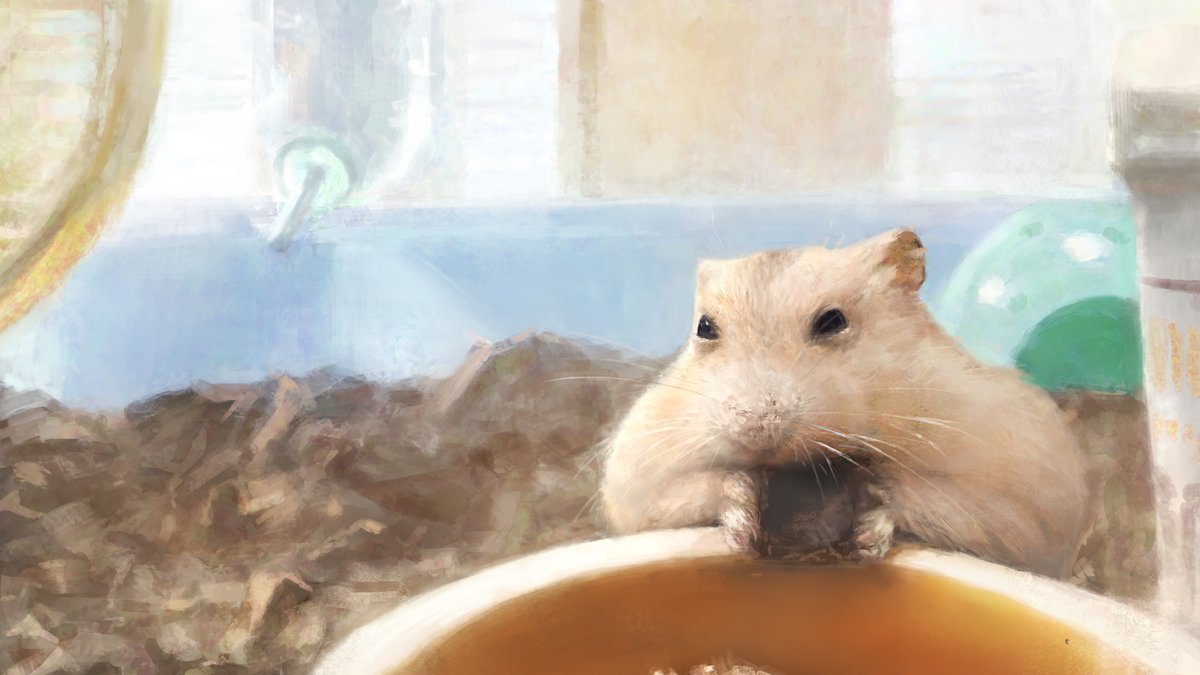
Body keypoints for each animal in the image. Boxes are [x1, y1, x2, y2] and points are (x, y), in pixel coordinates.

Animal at [599, 229, 1090, 578]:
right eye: (704, 327)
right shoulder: (637, 480)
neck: (804, 469)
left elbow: (927, 496)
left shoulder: (1026, 505)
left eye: (832, 321)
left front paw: (865, 534)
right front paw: (744, 522)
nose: (756, 428)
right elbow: (696, 491)